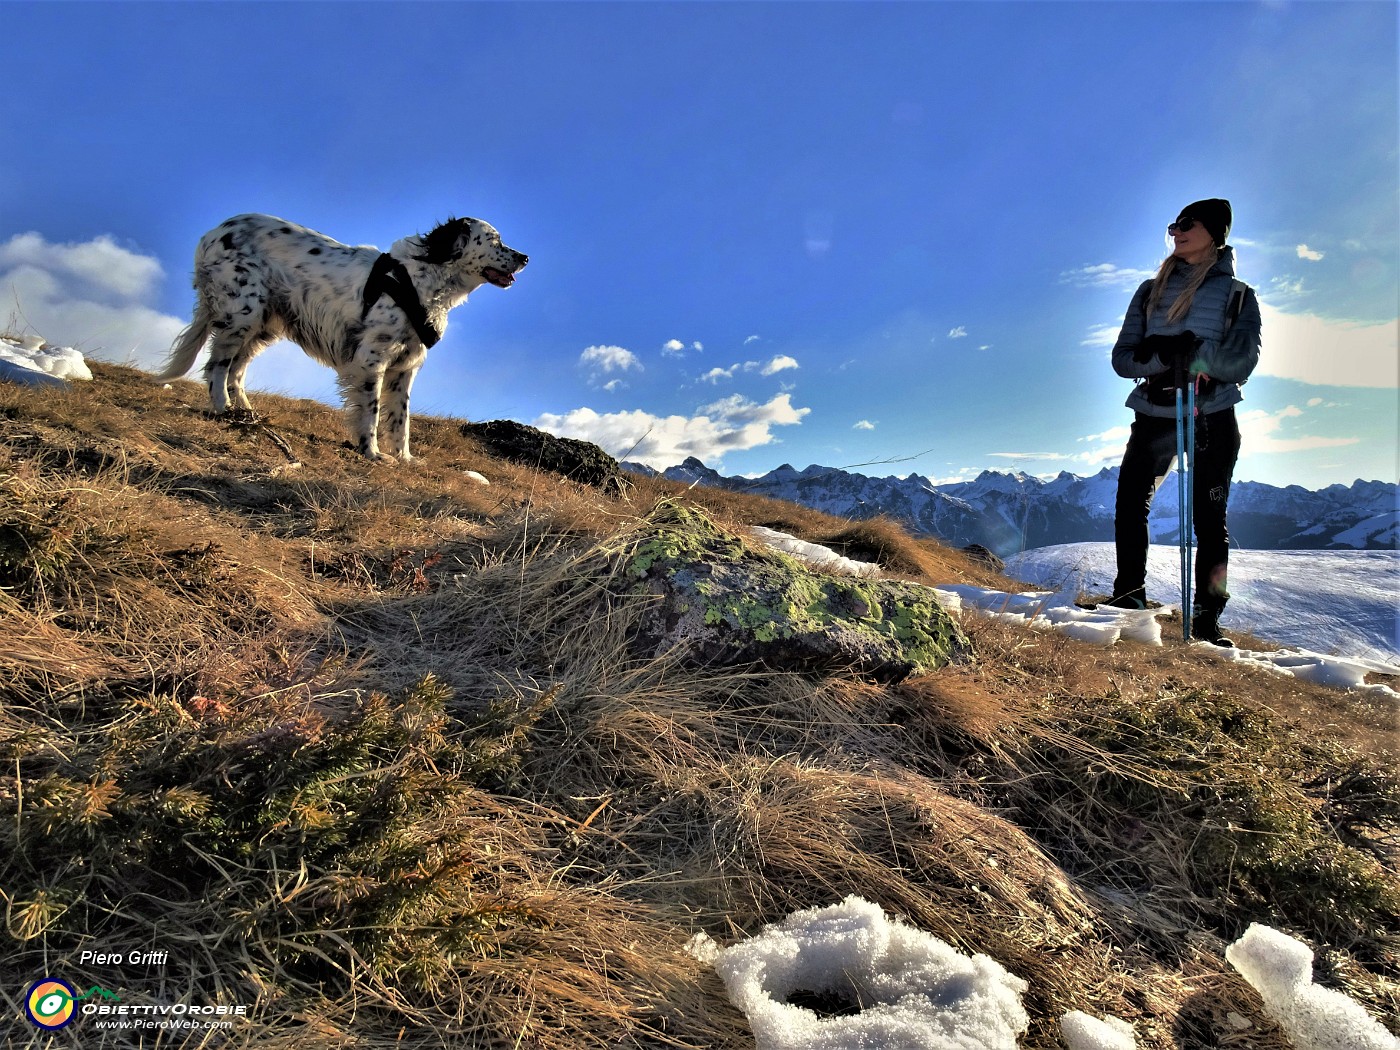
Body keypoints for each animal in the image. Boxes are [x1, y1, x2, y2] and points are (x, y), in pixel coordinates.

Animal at [158, 214, 526, 459]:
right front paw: (372, 452)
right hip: (243, 314)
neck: (423, 279)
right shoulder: (371, 360)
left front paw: (404, 458)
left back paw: (245, 412)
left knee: (237, 369)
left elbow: (401, 420)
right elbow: (373, 412)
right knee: (217, 367)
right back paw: (222, 409)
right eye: (494, 240)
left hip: (264, 324)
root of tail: (215, 231)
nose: (525, 257)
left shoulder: (404, 368)